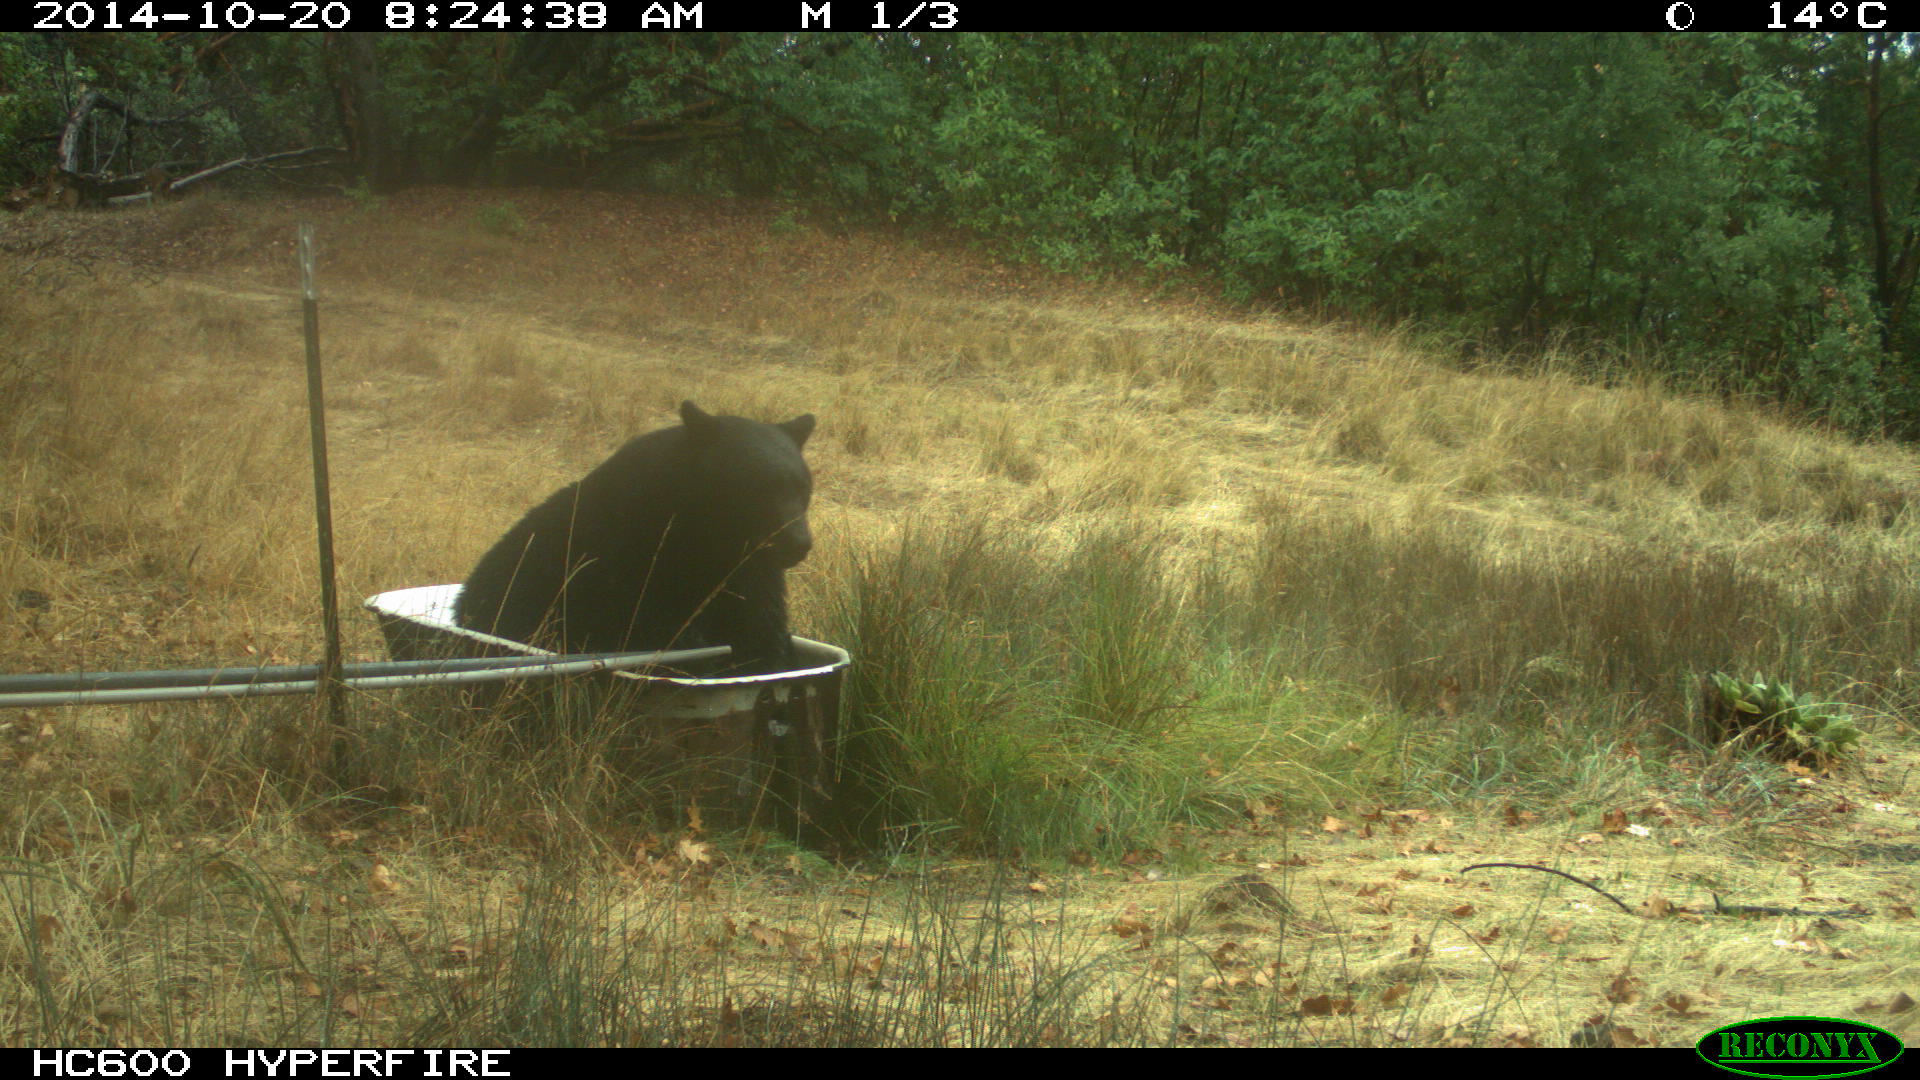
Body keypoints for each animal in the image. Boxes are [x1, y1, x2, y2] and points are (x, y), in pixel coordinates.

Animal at [454, 400, 816, 675]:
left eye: (802, 487)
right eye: (757, 488)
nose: (798, 543)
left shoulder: (750, 572)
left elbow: (760, 627)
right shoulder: (634, 561)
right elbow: (661, 632)